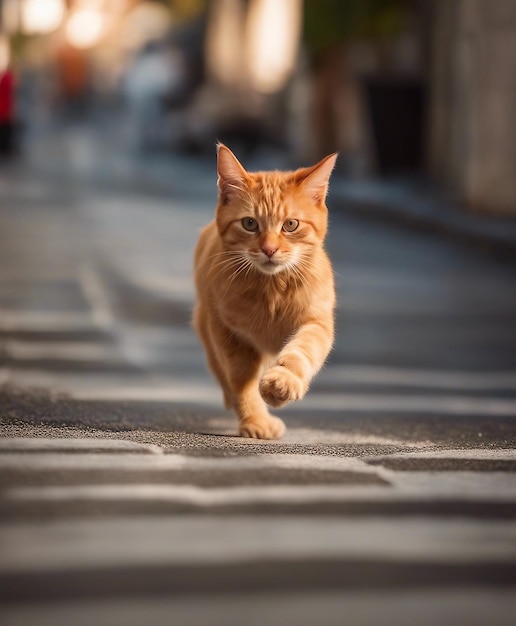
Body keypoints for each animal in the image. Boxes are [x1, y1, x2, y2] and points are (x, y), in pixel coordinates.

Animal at [194, 145, 338, 438]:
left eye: (290, 225)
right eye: (250, 223)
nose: (269, 249)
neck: (272, 290)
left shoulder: (317, 323)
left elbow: (302, 350)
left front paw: (282, 382)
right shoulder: (227, 334)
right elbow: (241, 381)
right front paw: (256, 420)